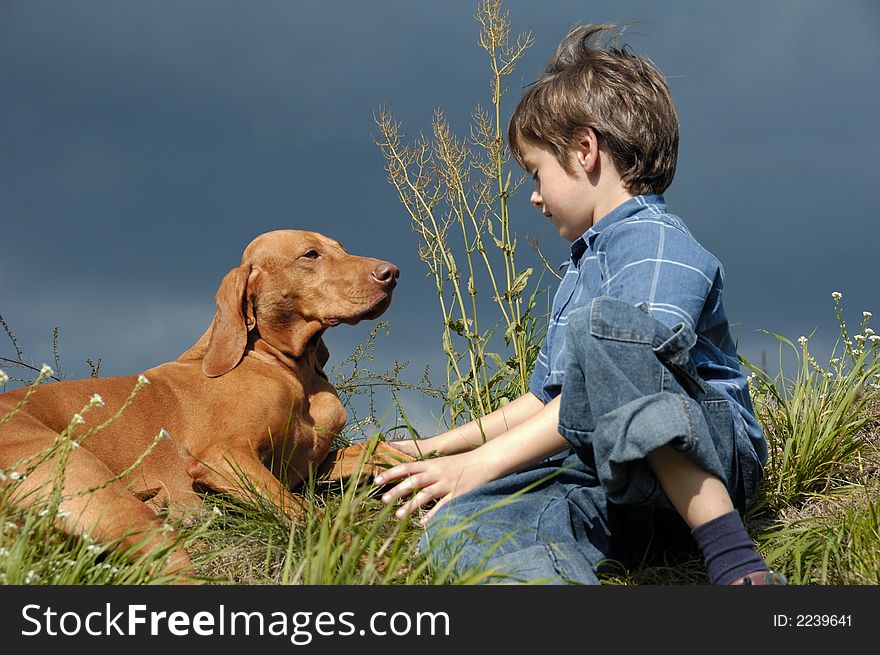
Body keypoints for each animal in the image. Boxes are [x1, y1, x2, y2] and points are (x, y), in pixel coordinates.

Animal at [0, 231, 412, 576]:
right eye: (310, 254)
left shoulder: (310, 469)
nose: (392, 273)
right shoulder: (223, 458)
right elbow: (308, 513)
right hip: (98, 490)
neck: (290, 369)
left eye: (342, 248)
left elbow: (379, 450)